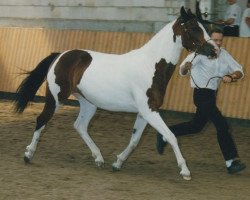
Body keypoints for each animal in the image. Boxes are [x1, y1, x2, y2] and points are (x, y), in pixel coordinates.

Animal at [14, 7, 217, 180]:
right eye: (193, 28)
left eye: (204, 27)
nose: (214, 50)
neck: (150, 65)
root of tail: (60, 55)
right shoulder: (150, 111)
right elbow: (171, 136)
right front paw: (185, 171)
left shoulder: (145, 112)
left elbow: (135, 140)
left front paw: (117, 163)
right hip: (56, 98)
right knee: (42, 120)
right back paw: (28, 155)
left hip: (89, 104)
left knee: (80, 126)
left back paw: (99, 158)